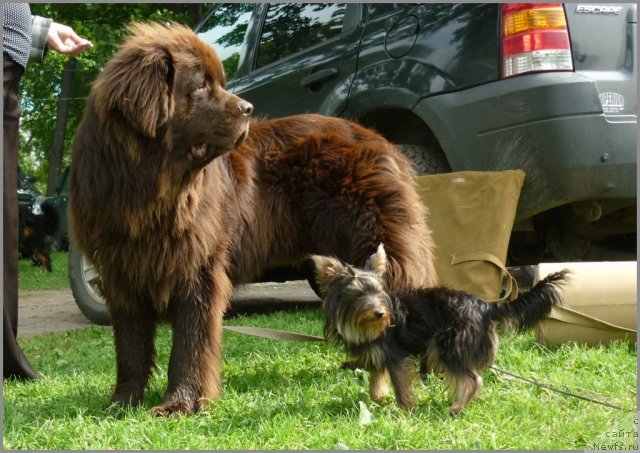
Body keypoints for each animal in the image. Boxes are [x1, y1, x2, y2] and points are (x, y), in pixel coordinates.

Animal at [71, 23, 440, 414]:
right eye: (201, 86)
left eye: (216, 82)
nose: (249, 108)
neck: (148, 185)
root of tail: (382, 142)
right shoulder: (122, 271)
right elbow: (130, 346)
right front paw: (122, 402)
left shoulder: (197, 270)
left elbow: (190, 344)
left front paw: (180, 403)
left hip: (376, 241)